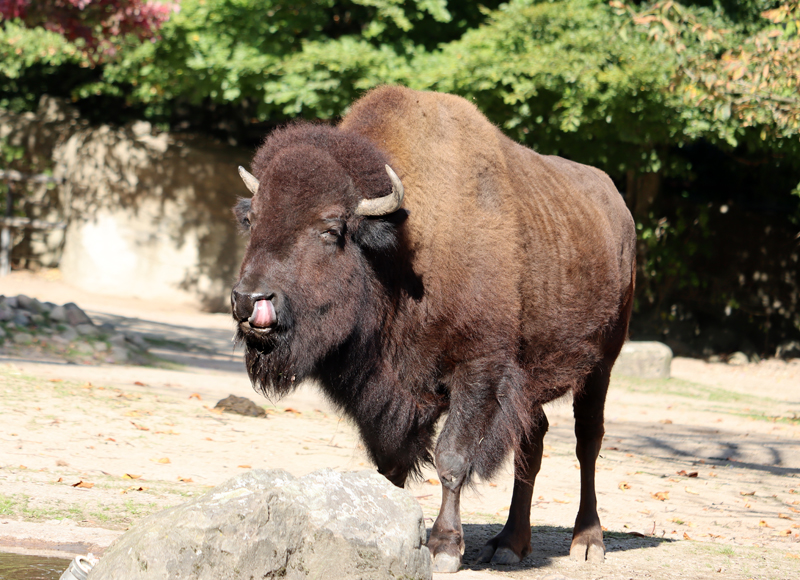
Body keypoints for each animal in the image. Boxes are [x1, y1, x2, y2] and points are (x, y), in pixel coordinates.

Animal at [231, 86, 636, 572]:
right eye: (252, 219)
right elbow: (390, 464)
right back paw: (509, 543)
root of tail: (620, 210)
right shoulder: (386, 396)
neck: (403, 249)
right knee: (532, 445)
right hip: (532, 384)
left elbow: (452, 458)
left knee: (586, 442)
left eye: (330, 228)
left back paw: (587, 541)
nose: (249, 300)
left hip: (602, 366)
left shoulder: (478, 371)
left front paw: (443, 548)